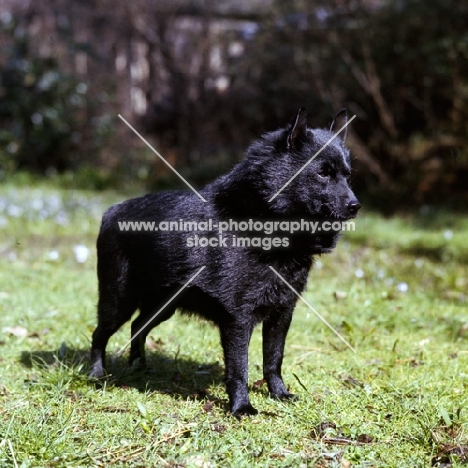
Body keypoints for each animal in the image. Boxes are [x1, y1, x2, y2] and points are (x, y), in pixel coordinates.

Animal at [89, 109, 360, 416]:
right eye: (323, 173)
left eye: (348, 176)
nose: (356, 206)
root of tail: (112, 211)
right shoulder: (238, 319)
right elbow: (239, 368)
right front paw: (241, 407)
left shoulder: (282, 313)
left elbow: (273, 359)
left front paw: (279, 394)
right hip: (119, 300)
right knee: (99, 334)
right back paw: (96, 375)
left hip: (163, 305)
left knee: (137, 327)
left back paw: (140, 368)